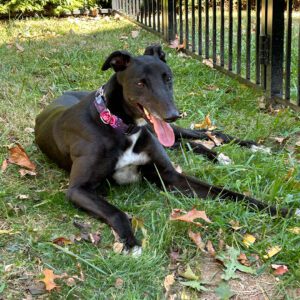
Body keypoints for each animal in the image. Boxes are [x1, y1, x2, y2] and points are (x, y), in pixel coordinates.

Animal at [34, 44, 290, 251]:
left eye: (168, 78)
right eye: (140, 83)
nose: (173, 115)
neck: (120, 126)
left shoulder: (170, 175)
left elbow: (226, 192)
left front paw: (278, 211)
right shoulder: (78, 189)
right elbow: (115, 211)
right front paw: (131, 244)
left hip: (170, 132)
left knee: (206, 134)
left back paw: (251, 148)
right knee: (187, 143)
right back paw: (216, 155)